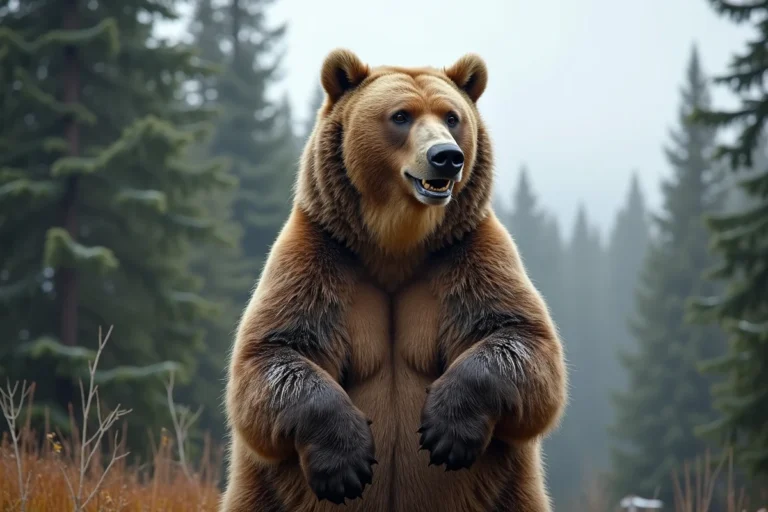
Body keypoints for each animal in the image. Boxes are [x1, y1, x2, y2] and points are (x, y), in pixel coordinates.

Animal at [220, 48, 568, 512]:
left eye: (452, 116)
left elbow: (522, 340)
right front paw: (346, 463)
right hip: (264, 496)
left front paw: (445, 431)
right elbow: (274, 353)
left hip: (507, 495)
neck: (396, 243)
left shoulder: (466, 256)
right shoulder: (319, 259)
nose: (446, 156)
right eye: (401, 116)